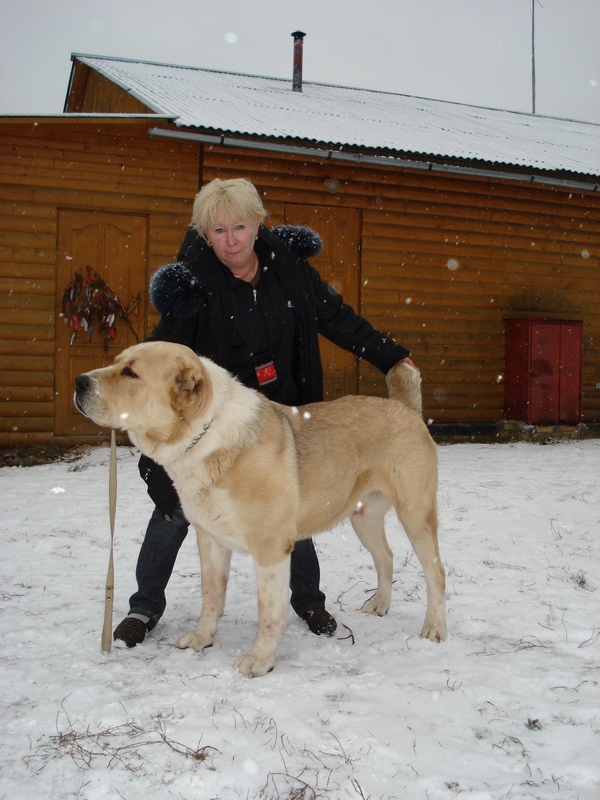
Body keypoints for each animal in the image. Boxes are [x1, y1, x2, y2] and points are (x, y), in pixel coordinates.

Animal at [74, 340, 446, 680]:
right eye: (117, 362)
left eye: (130, 373)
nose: (79, 381)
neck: (204, 437)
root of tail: (403, 405)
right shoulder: (210, 540)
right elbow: (211, 597)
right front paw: (202, 639)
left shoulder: (270, 550)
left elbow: (268, 613)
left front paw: (260, 661)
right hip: (363, 518)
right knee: (386, 557)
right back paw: (380, 605)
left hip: (415, 515)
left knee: (436, 573)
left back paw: (435, 629)